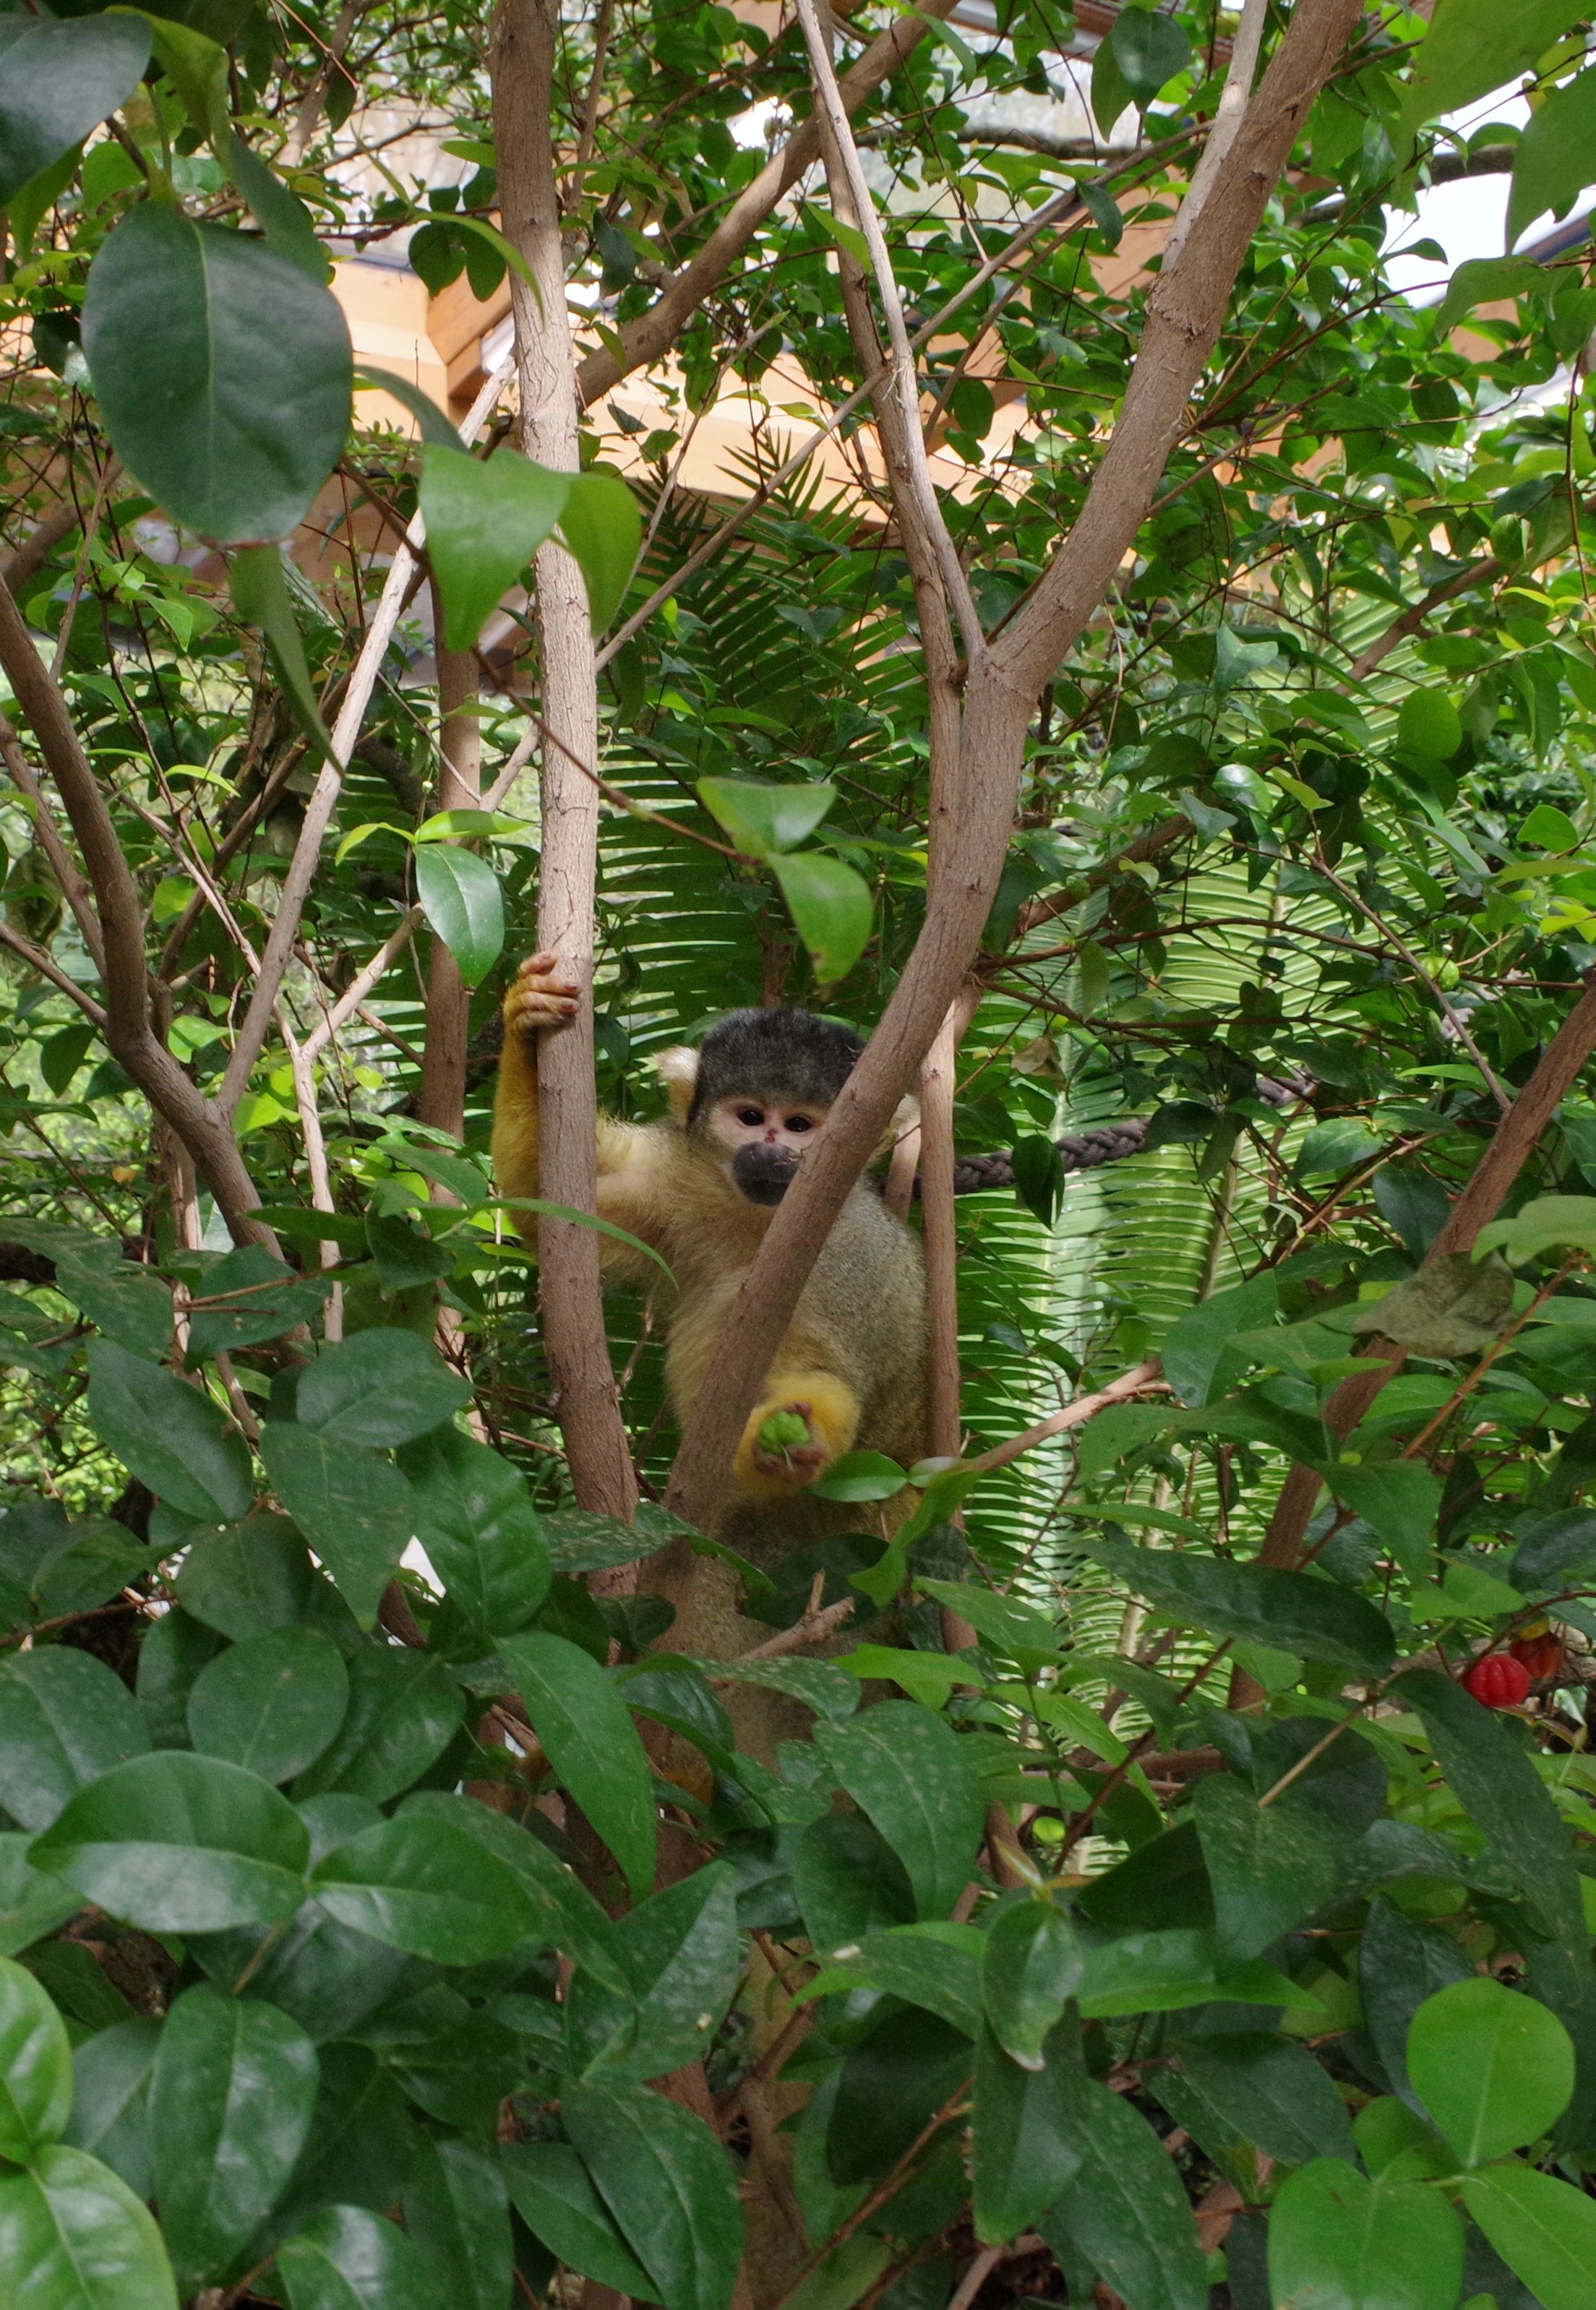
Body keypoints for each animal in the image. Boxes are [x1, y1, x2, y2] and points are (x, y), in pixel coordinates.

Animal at [491, 953, 928, 1578]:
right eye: (750, 1116)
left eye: (800, 1126)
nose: (771, 1154)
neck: (762, 1224)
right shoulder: (673, 1183)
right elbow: (550, 1203)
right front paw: (527, 1024)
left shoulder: (857, 1257)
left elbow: (829, 1372)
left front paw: (800, 1437)